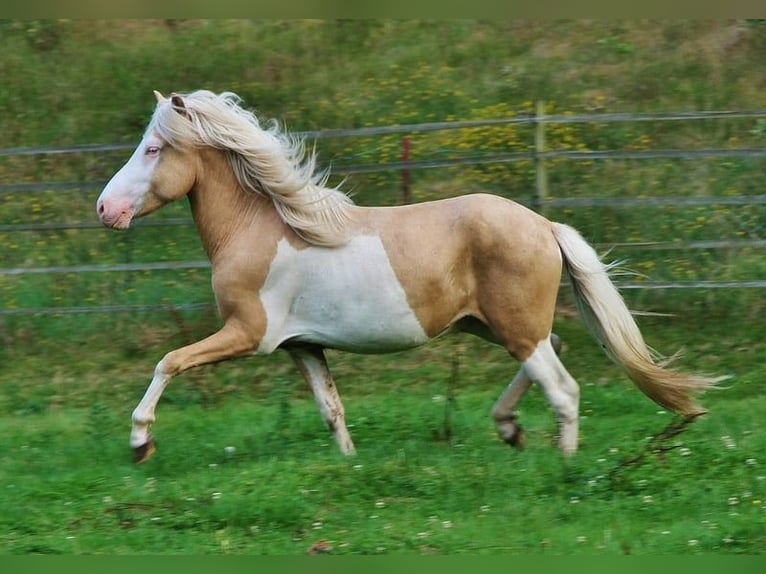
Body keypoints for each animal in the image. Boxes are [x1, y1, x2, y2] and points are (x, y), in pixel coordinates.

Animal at [96, 90, 718, 464]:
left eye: (153, 148)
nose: (106, 209)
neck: (260, 228)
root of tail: (544, 225)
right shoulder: (303, 346)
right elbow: (331, 409)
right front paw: (349, 465)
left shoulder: (248, 334)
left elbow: (169, 361)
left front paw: (139, 441)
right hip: (493, 325)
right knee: (553, 353)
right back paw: (509, 428)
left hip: (514, 328)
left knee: (563, 388)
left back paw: (564, 468)